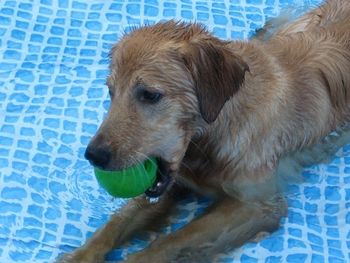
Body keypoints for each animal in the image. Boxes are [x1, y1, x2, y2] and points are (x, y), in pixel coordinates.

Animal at [58, 1, 348, 262]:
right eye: (111, 92)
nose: (94, 155)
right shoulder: (175, 182)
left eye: (150, 95)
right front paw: (78, 256)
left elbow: (173, 241)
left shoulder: (256, 204)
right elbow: (117, 222)